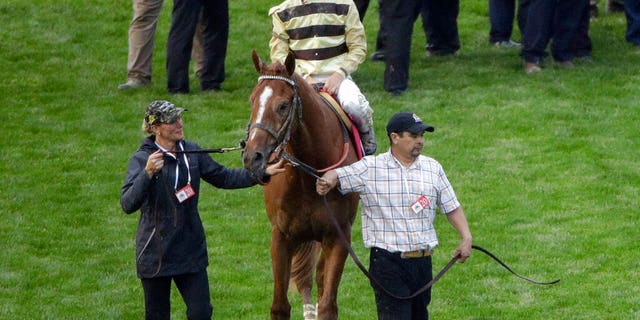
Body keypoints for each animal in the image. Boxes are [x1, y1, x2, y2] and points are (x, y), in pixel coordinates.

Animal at [242, 50, 360, 320]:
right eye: (252, 101)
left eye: (283, 106)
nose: (252, 156)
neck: (309, 176)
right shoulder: (281, 235)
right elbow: (279, 306)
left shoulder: (339, 235)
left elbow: (327, 305)